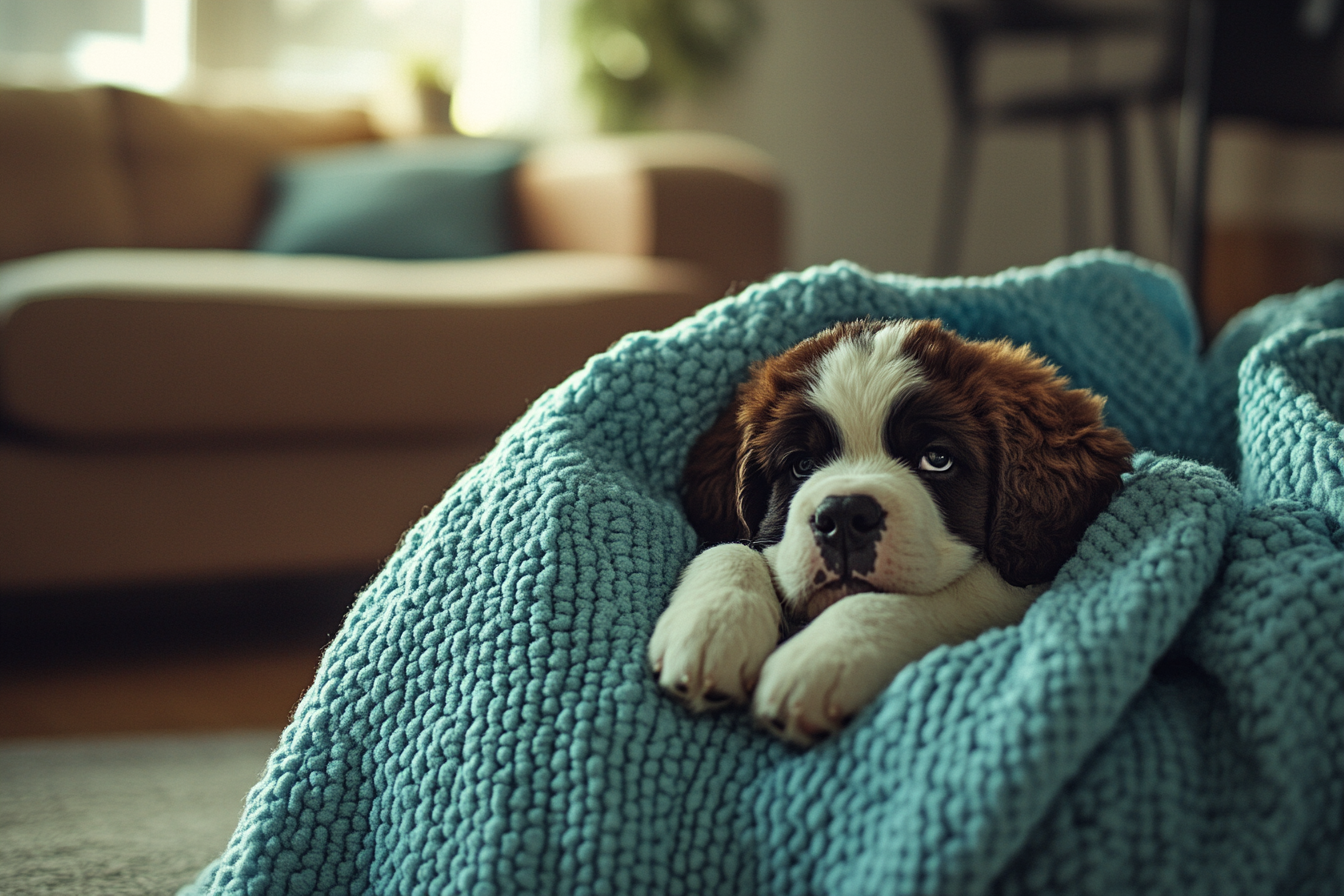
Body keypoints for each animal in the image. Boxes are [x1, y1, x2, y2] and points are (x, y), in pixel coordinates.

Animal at [647, 318, 1134, 746]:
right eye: (801, 465)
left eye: (937, 459)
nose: (844, 516)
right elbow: (730, 544)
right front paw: (714, 622)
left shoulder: (1026, 577)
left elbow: (941, 593)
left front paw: (823, 654)